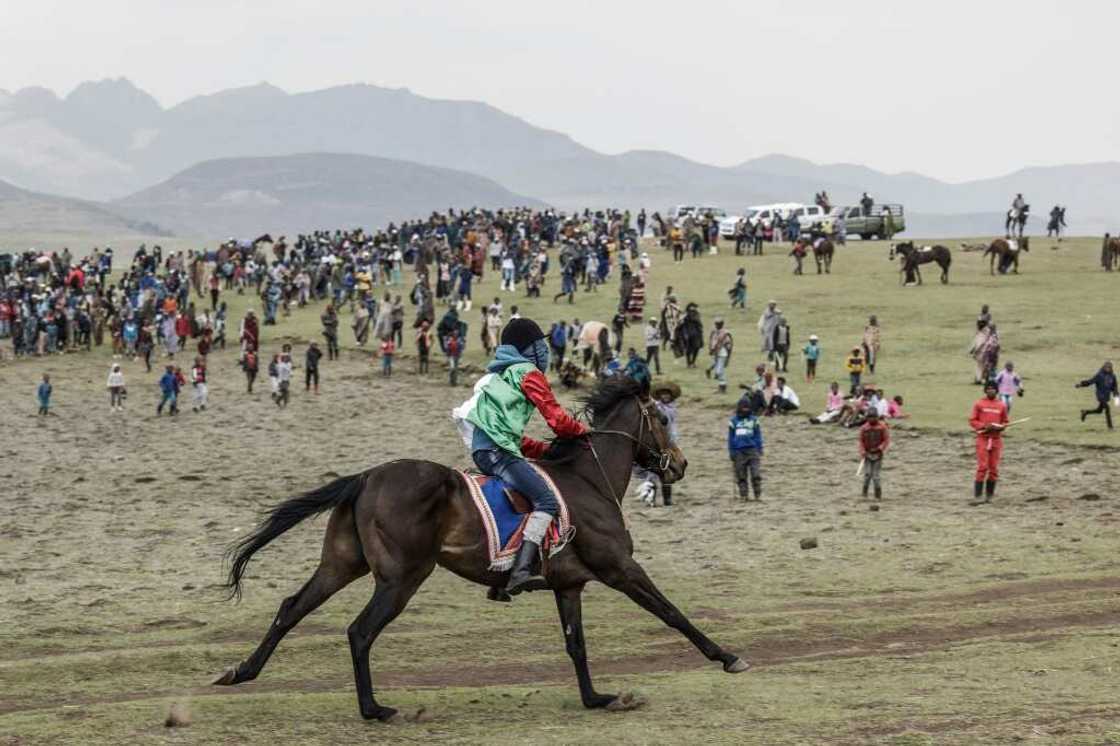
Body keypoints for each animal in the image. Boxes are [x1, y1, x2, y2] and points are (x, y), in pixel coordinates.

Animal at [213, 380, 748, 716]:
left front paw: (596, 699)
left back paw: (242, 671)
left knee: (291, 608)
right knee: (360, 631)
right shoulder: (620, 569)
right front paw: (726, 656)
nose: (679, 464)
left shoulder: (569, 585)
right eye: (661, 417)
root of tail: (367, 477)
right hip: (402, 577)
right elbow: (672, 613)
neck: (587, 480)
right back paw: (373, 709)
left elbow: (575, 644)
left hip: (343, 565)